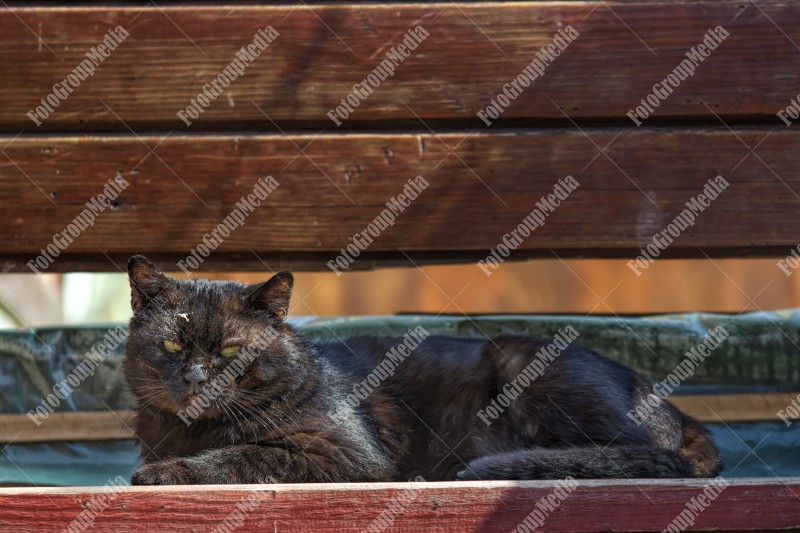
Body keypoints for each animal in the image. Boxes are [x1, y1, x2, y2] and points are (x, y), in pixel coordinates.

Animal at [123, 256, 720, 484]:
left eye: (229, 352)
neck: (191, 430)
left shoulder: (343, 453)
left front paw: (164, 473)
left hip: (534, 369)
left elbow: (241, 455)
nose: (196, 378)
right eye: (172, 343)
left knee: (636, 454)